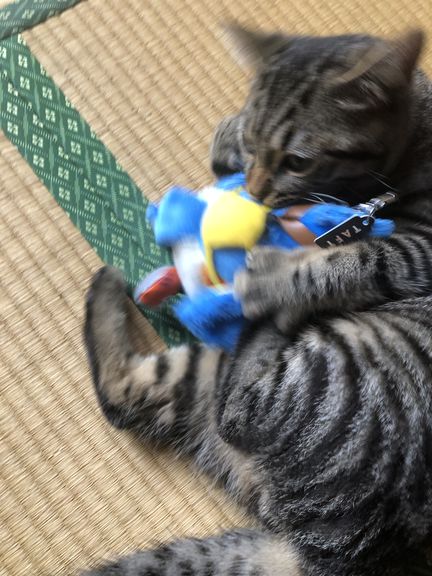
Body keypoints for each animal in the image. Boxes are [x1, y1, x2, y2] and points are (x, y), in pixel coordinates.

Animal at [82, 27, 432, 576]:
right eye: (253, 145)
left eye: (299, 161)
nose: (255, 189)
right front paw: (226, 137)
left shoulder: (421, 245)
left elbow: (362, 257)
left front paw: (281, 275)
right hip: (208, 380)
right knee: (130, 395)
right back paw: (111, 284)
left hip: (315, 376)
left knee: (229, 406)